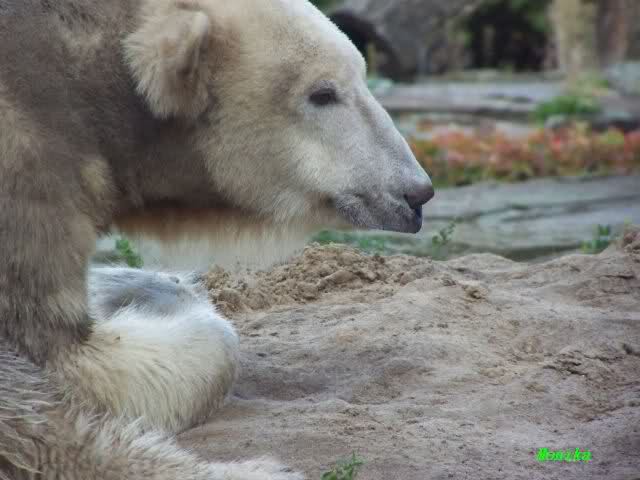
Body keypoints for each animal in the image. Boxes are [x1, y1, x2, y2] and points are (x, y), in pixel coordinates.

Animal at [0, 0, 433, 478]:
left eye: (362, 73)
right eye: (322, 93)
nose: (416, 193)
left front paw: (151, 287)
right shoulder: (27, 175)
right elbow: (66, 366)